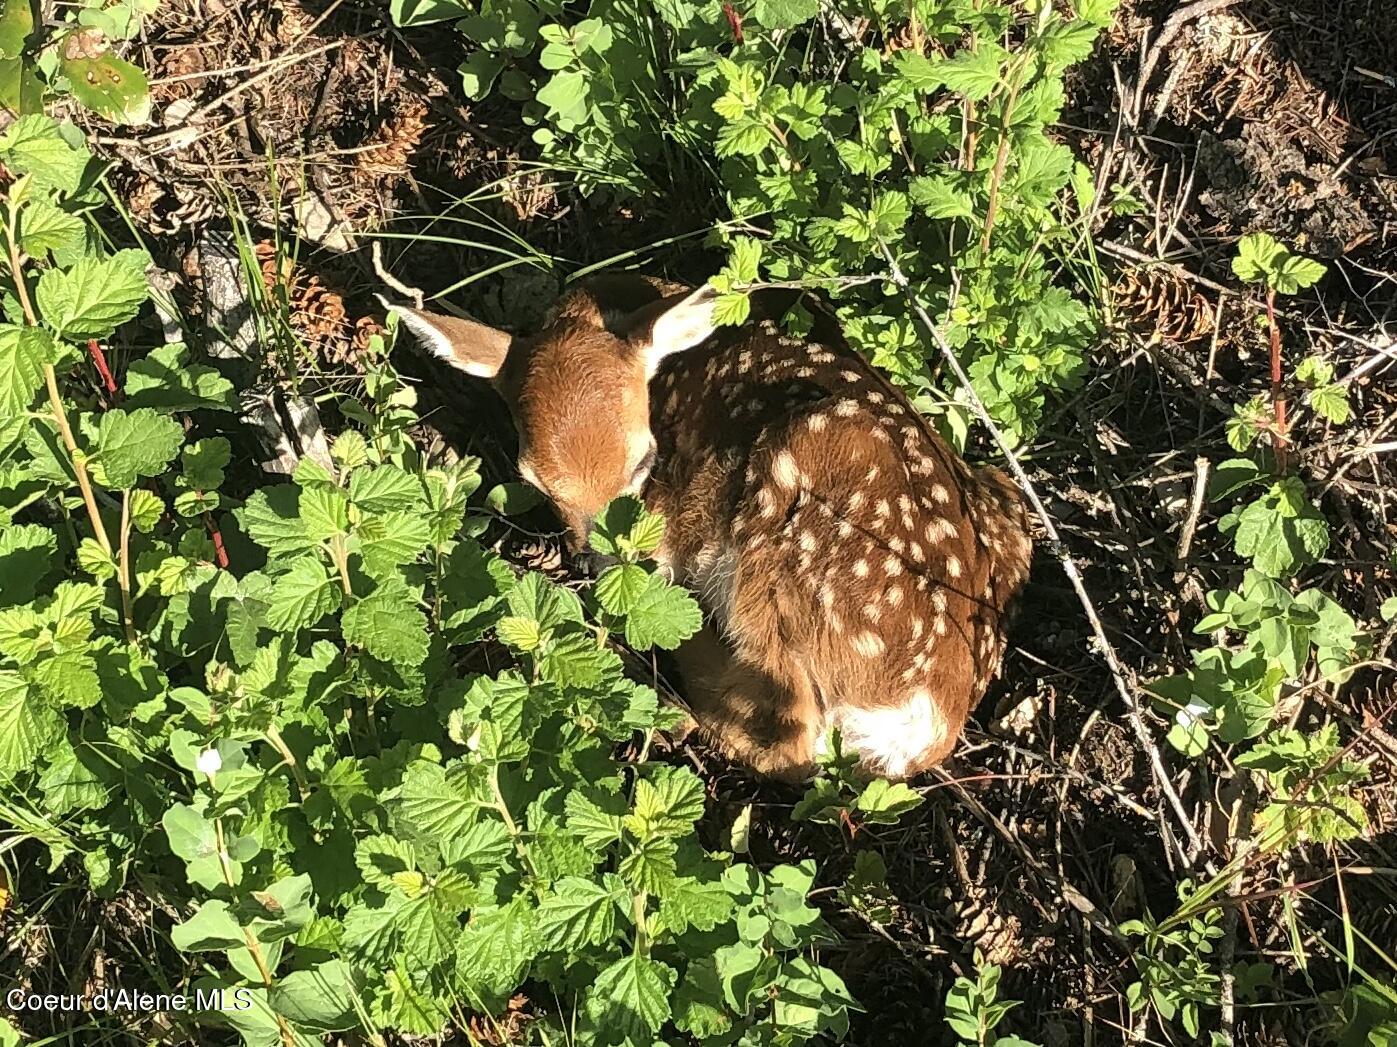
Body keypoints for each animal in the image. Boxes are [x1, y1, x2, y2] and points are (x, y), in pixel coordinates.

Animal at [384, 274, 1032, 781]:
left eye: (644, 461)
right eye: (534, 482)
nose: (601, 564)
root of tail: (930, 711)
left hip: (786, 516)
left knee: (793, 734)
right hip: (1003, 500)